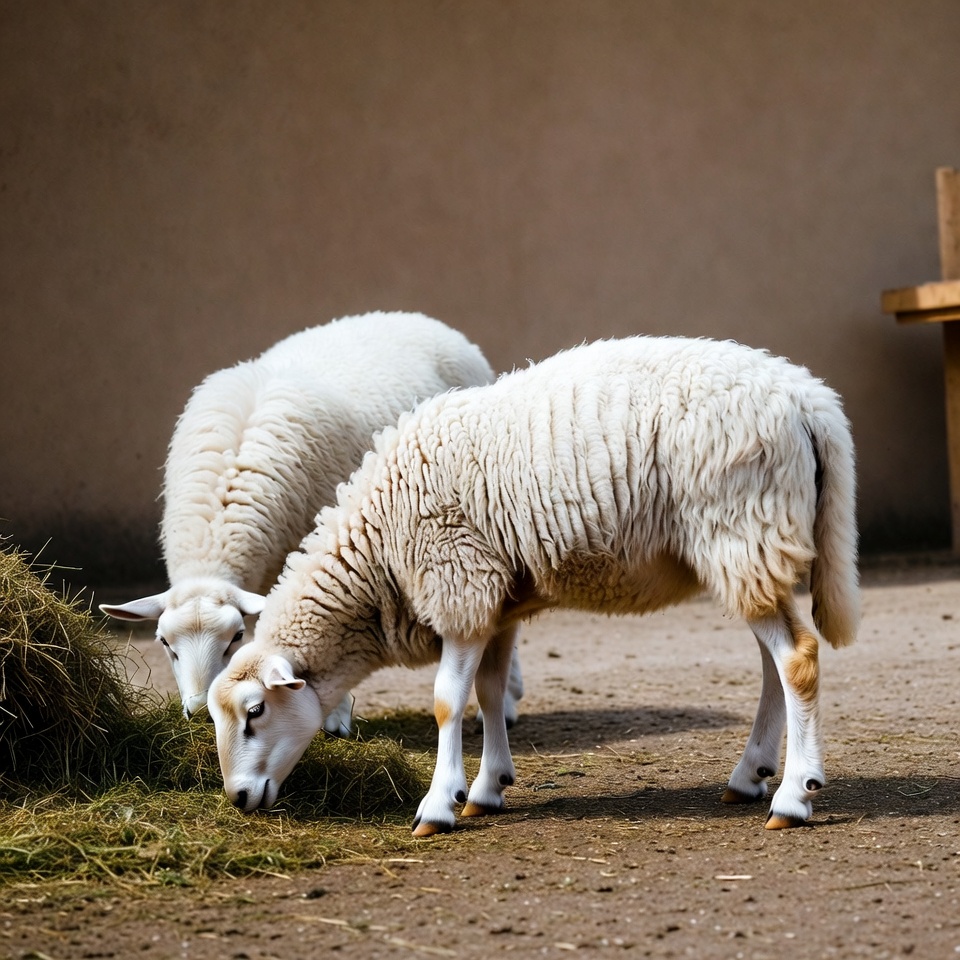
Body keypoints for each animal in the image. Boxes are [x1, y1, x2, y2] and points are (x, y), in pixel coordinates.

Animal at [100, 310, 525, 728]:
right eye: (164, 643)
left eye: (235, 637)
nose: (200, 712)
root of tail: (417, 317)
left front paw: (335, 718)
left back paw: (505, 702)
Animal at [207, 334, 859, 835]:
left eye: (255, 711)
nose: (236, 798)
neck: (378, 558)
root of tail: (808, 396)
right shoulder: (494, 600)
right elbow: (490, 691)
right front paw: (487, 788)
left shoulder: (459, 582)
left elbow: (448, 701)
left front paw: (437, 806)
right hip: (749, 553)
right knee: (774, 664)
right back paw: (749, 777)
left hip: (741, 529)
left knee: (796, 659)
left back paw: (793, 797)